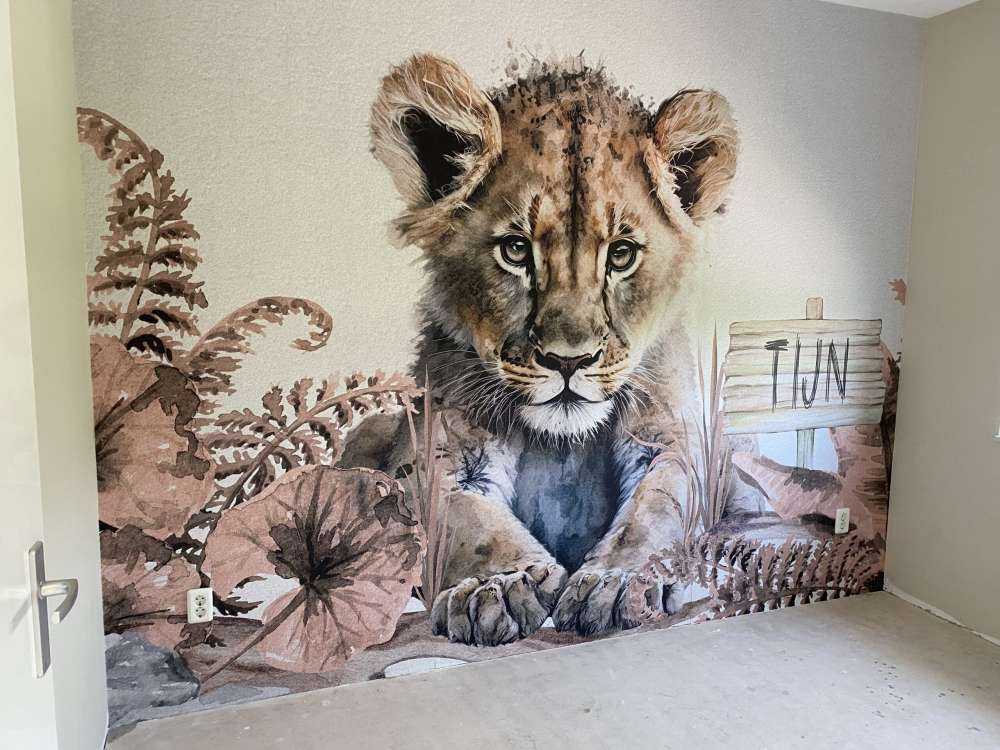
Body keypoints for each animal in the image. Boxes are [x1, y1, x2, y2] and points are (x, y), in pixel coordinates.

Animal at [343, 53, 766, 646]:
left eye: (621, 255)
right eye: (516, 250)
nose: (569, 361)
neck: (561, 444)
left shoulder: (674, 442)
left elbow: (657, 507)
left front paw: (618, 582)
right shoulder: (435, 454)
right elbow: (465, 517)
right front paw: (497, 586)